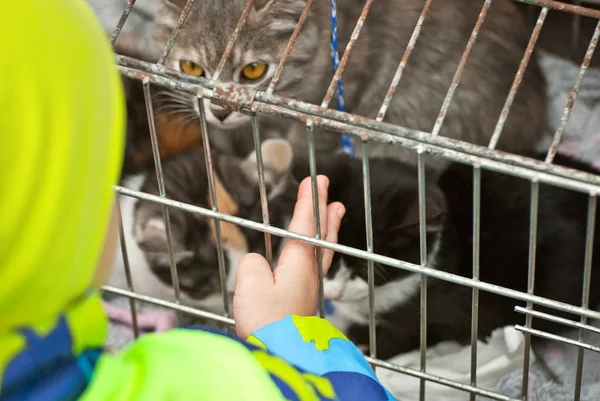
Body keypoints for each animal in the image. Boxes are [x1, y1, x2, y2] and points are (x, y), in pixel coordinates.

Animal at [292, 152, 600, 358]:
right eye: (325, 255)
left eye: (365, 270)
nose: (333, 294)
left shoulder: (465, 308)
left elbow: (427, 332)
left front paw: (371, 343)